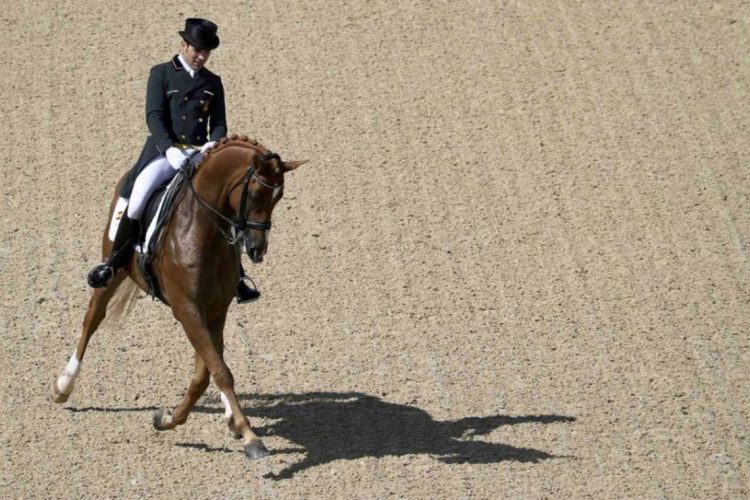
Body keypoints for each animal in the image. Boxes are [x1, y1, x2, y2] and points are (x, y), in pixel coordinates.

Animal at [51, 135, 306, 458]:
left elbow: (207, 371)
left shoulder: (215, 309)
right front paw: (250, 436)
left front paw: (172, 417)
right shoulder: (187, 309)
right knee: (92, 319)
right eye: (256, 193)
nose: (256, 249)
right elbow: (219, 370)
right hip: (113, 270)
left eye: (279, 197)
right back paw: (63, 385)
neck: (203, 231)